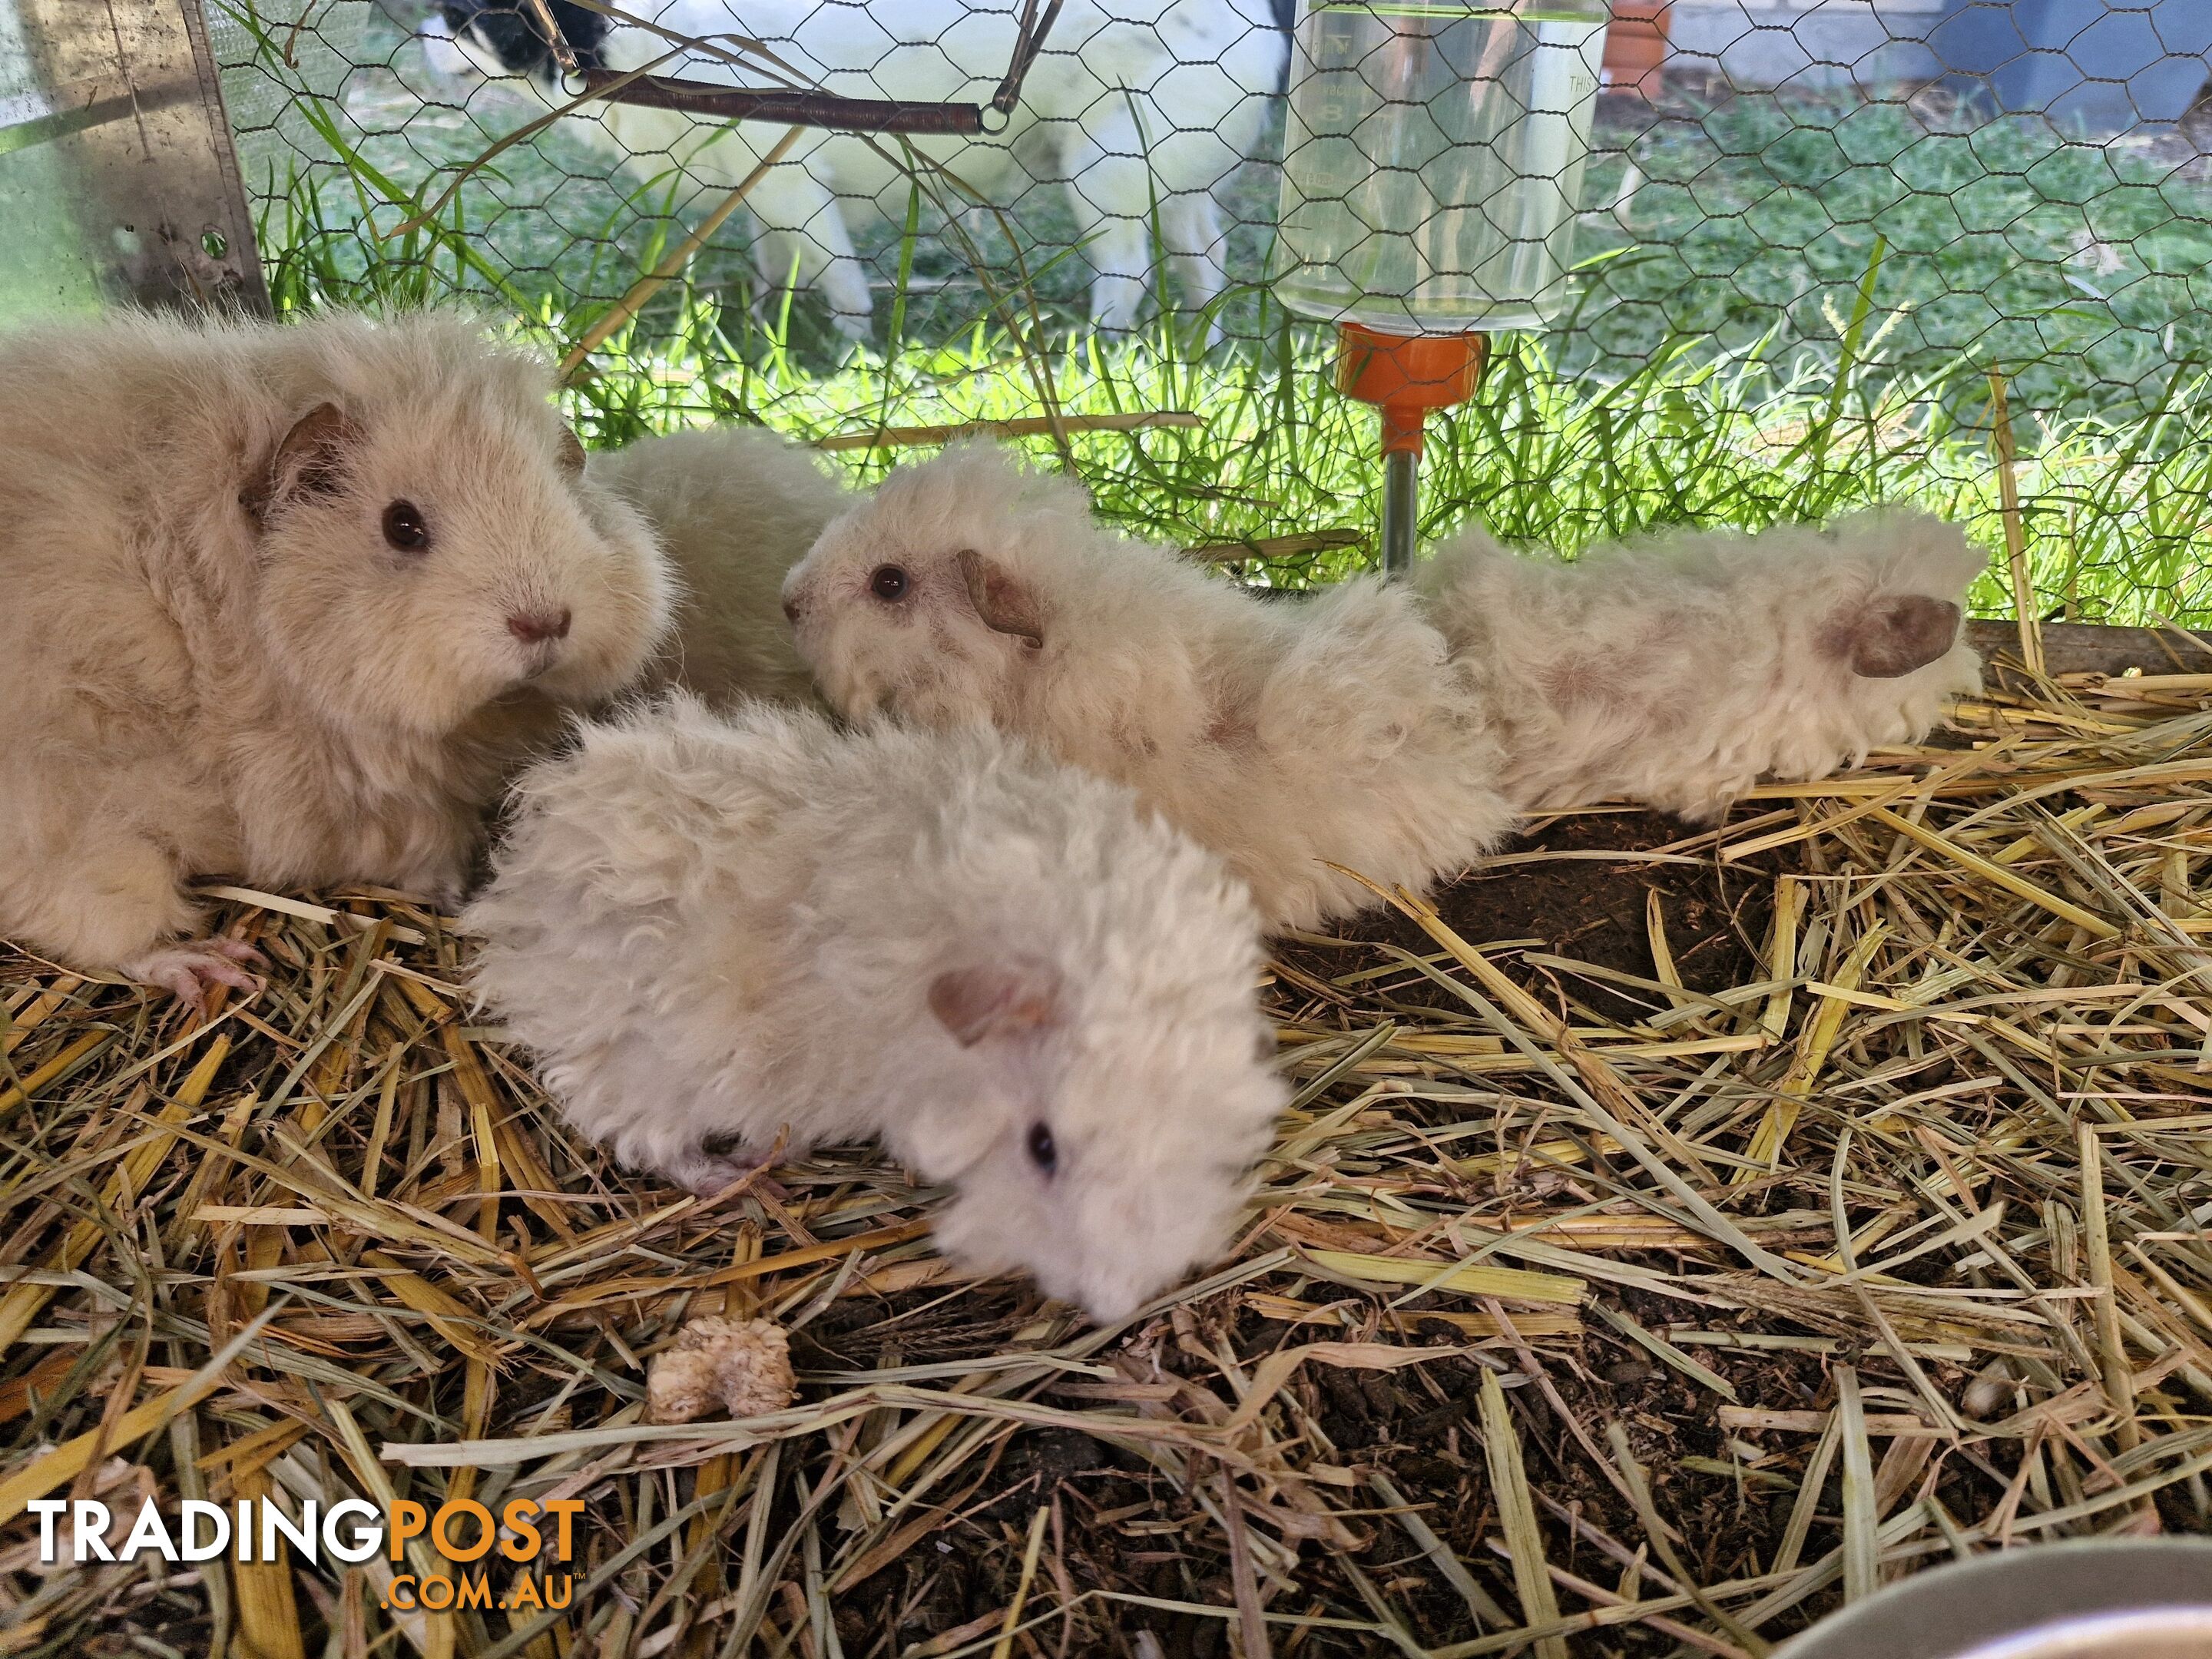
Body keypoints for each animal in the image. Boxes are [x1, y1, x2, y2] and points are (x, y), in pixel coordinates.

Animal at [431, 0, 1291, 338]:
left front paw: (848, 348)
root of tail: (1256, 29)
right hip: (1173, 181)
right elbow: (774, 261)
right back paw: (1199, 343)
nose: (426, 41)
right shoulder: (760, 194)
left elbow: (835, 270)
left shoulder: (790, 182)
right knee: (1205, 260)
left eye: (468, 15)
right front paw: (766, 329)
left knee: (1128, 267)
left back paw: (1103, 344)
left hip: (1104, 169)